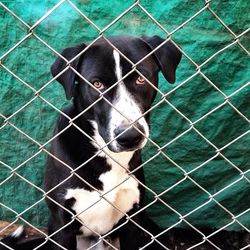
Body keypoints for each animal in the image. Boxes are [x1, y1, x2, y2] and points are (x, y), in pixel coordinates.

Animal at [0, 35, 181, 250]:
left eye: (140, 78)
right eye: (97, 84)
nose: (129, 137)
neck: (106, 154)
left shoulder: (132, 222)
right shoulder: (61, 225)